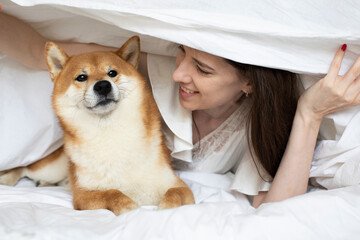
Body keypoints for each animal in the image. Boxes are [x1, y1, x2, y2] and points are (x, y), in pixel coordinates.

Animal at [0, 36, 194, 216]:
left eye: (112, 73)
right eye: (81, 77)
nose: (102, 86)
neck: (109, 134)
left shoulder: (175, 184)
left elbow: (175, 195)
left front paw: (166, 210)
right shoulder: (83, 194)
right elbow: (112, 193)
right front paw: (130, 208)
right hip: (51, 168)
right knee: (24, 168)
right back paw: (8, 178)